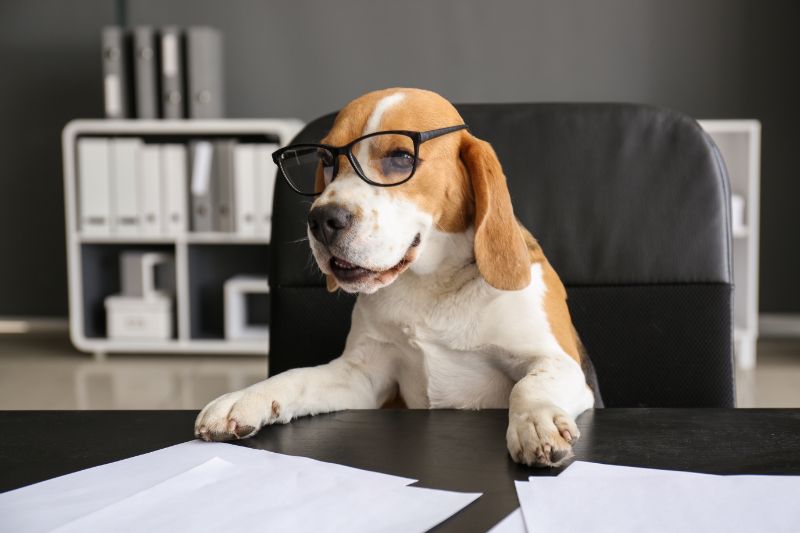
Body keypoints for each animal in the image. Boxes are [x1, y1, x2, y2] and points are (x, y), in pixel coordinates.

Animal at [197, 87, 600, 466]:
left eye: (401, 158)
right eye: (326, 160)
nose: (322, 220)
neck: (431, 286)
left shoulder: (558, 362)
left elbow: (529, 386)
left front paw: (537, 423)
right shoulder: (362, 376)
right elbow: (295, 375)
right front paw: (245, 398)